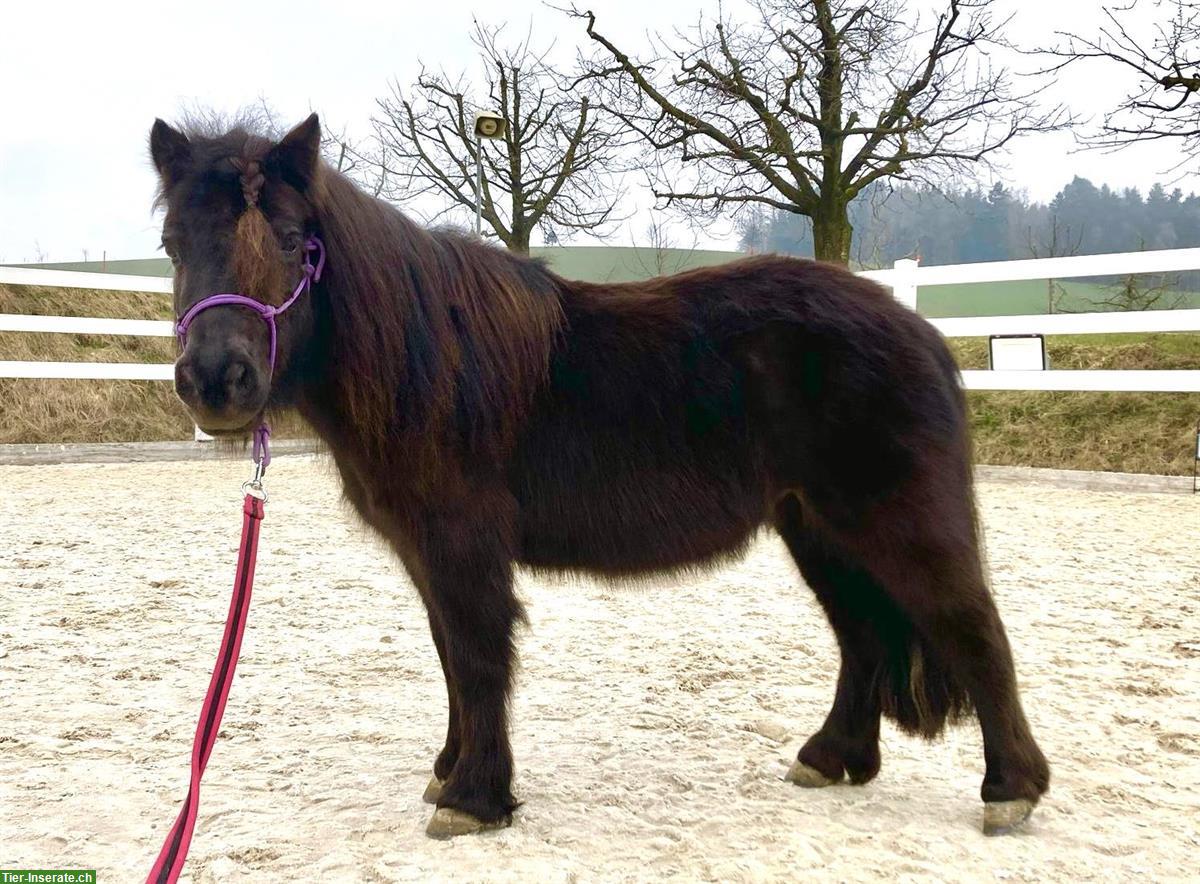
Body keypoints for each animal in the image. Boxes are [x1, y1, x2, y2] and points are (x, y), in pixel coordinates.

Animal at [152, 113, 1051, 839]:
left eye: (291, 240)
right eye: (172, 246)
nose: (216, 381)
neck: (428, 362)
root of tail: (917, 330)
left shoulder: (463, 550)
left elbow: (476, 658)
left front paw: (473, 799)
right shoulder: (429, 557)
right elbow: (450, 658)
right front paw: (449, 772)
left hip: (898, 524)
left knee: (973, 628)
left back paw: (1010, 789)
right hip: (820, 530)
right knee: (862, 637)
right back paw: (832, 757)